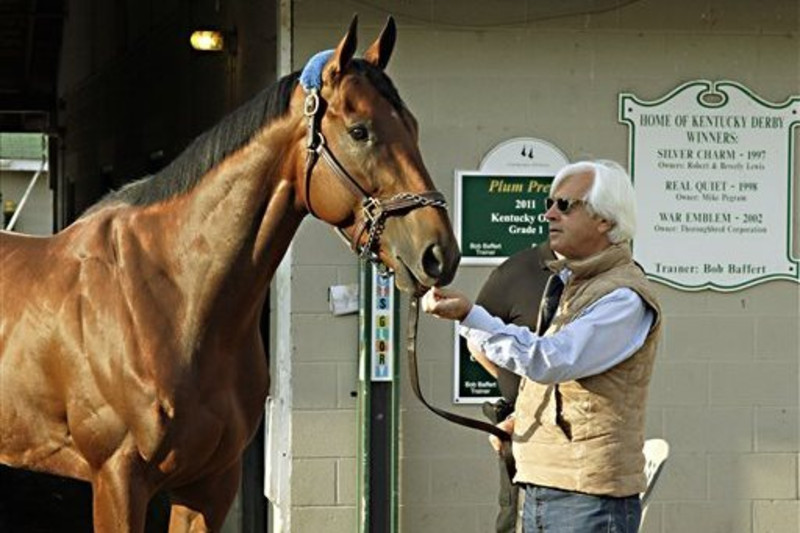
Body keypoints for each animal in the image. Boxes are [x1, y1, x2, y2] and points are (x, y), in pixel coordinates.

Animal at [0, 17, 460, 532]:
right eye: (361, 131)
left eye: (412, 126)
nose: (438, 254)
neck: (173, 298)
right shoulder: (116, 481)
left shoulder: (211, 483)